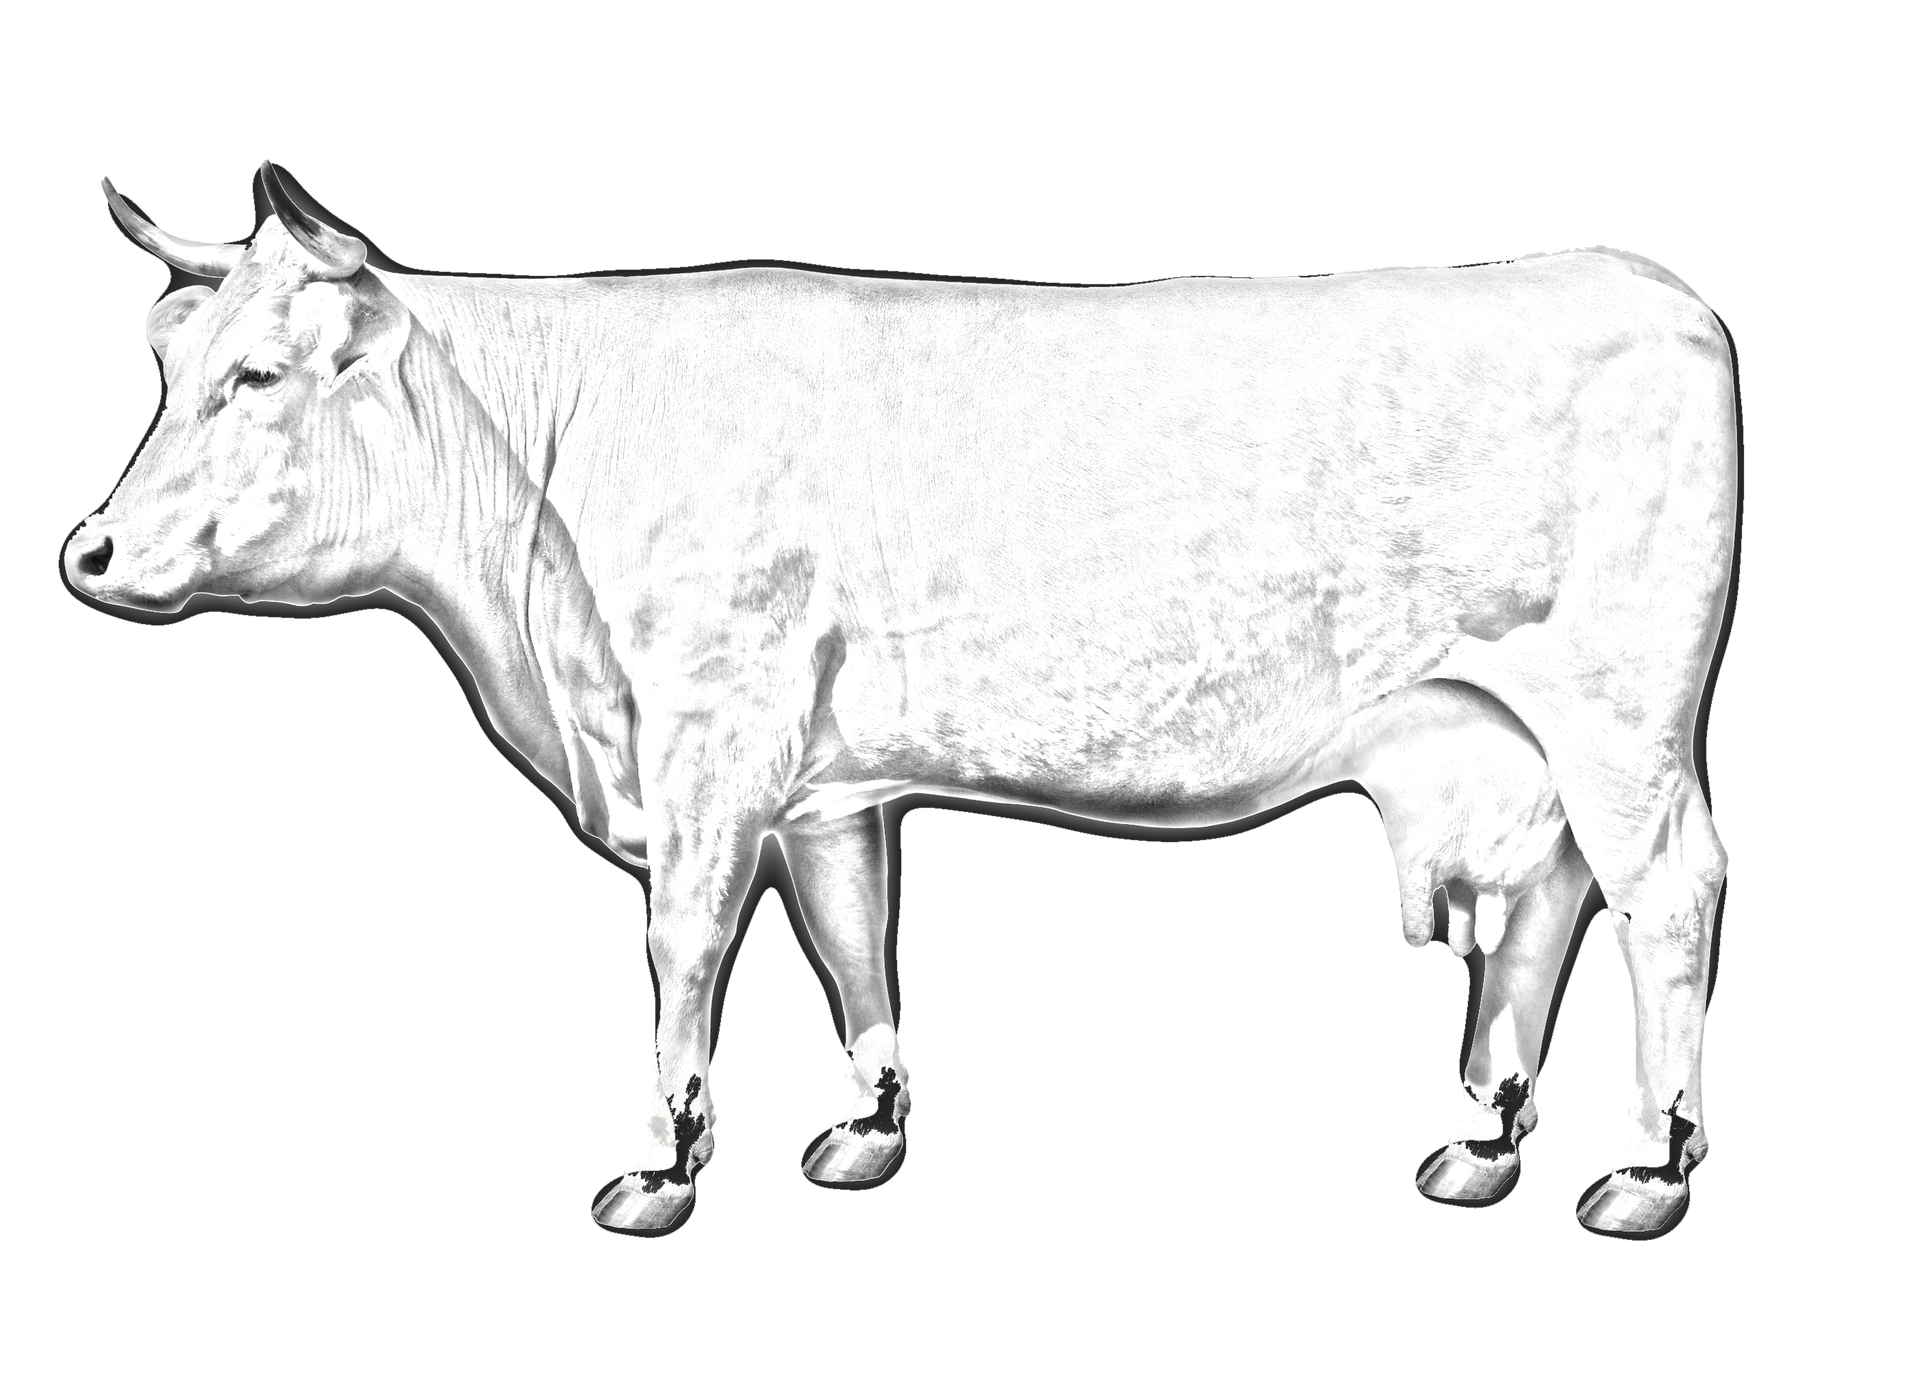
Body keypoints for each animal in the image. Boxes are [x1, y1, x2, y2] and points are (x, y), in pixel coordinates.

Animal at [66, 159, 1736, 1239]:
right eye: (166, 353)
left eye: (258, 375)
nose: (88, 550)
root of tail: (1622, 272)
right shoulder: (824, 768)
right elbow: (849, 920)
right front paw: (864, 1128)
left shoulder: (710, 723)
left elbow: (688, 935)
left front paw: (659, 1163)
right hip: (1517, 731)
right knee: (1547, 904)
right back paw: (1481, 1144)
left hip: (1619, 714)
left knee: (1663, 892)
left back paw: (1648, 1170)